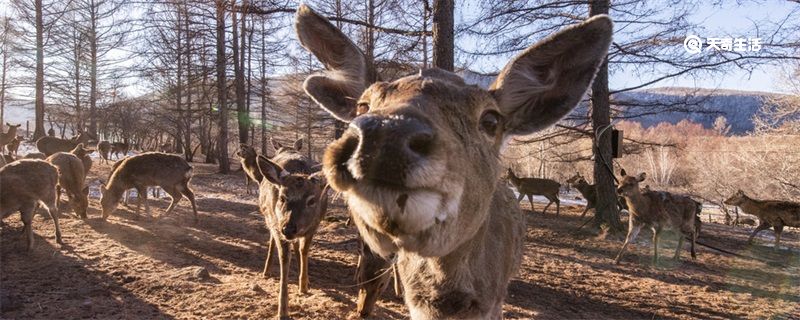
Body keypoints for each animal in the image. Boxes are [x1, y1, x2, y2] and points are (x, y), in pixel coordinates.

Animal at [258, 139, 330, 318]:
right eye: (282, 197)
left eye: (312, 200)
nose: (289, 228)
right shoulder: (277, 224)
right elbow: (284, 258)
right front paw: (282, 311)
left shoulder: (314, 224)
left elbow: (304, 250)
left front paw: (303, 285)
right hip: (270, 218)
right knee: (272, 240)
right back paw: (266, 270)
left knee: (298, 246)